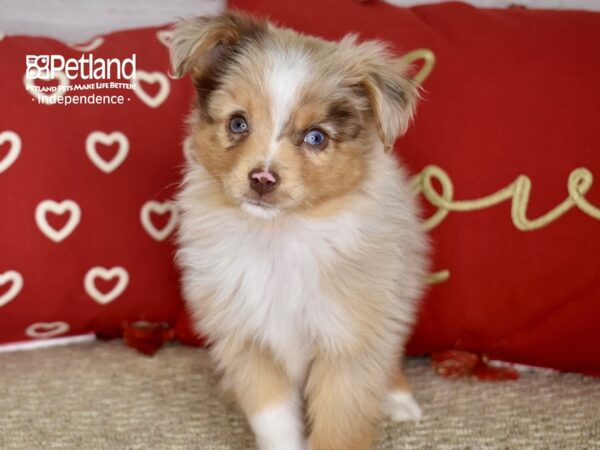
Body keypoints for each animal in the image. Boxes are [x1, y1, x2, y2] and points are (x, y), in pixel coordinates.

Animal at [171, 12, 428, 450]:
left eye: (316, 137)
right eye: (238, 123)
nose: (262, 178)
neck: (280, 234)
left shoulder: (347, 345)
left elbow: (339, 428)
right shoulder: (248, 341)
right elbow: (274, 420)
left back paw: (399, 400)